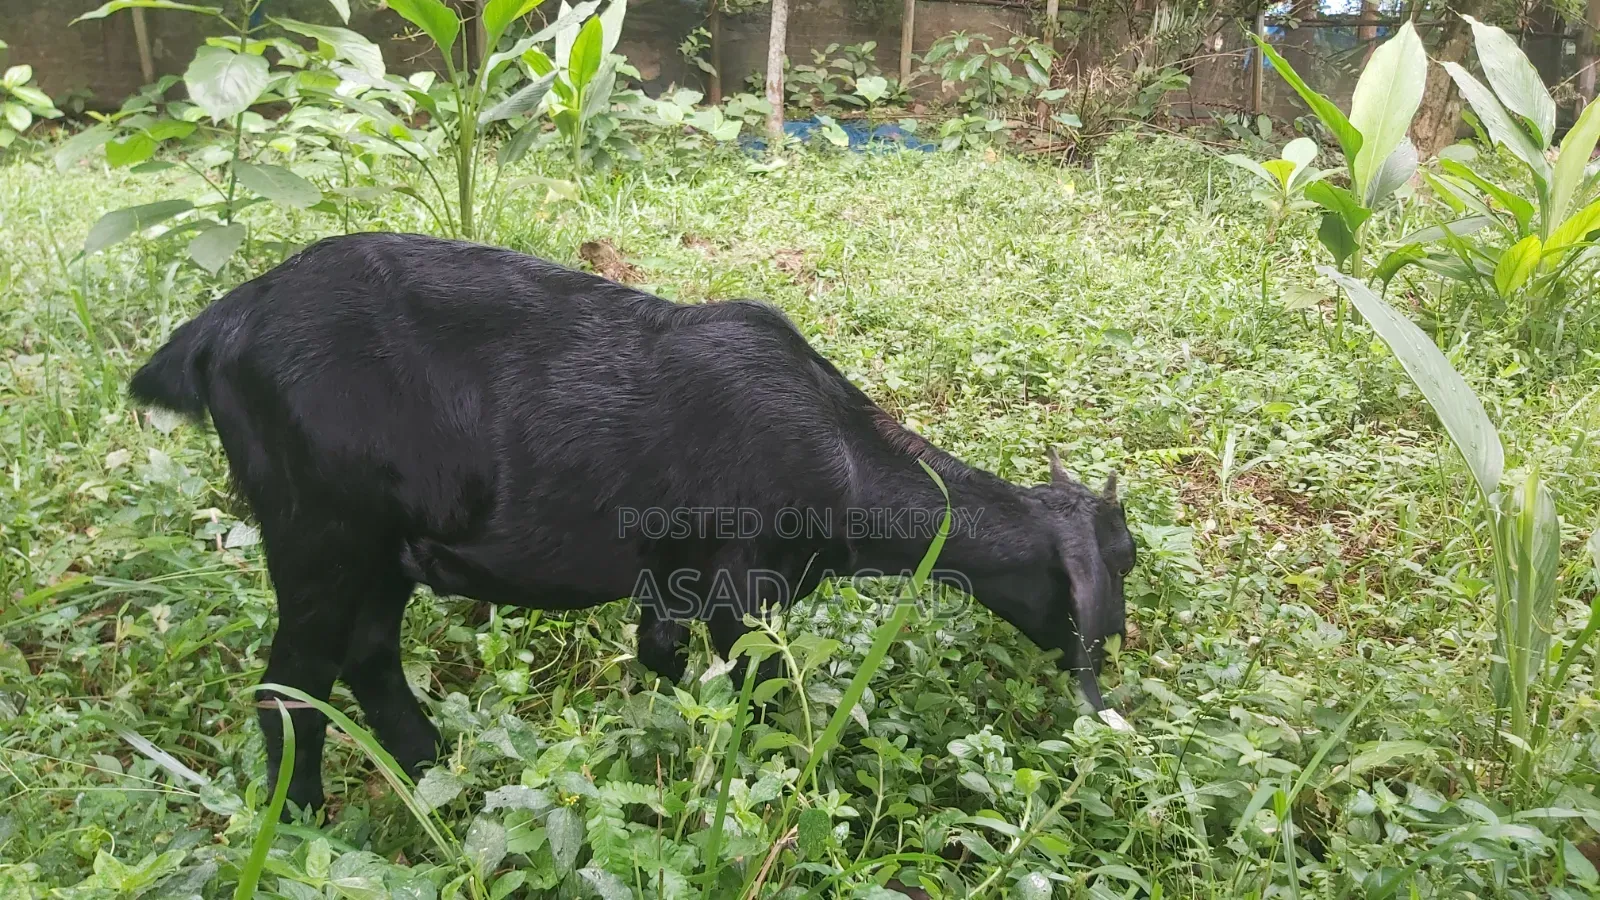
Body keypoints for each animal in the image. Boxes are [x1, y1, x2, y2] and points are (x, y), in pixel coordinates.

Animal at [129, 233, 1135, 811]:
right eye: (1119, 565)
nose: (1116, 646)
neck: (842, 454)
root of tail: (218, 330)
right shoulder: (741, 585)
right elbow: (756, 698)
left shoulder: (673, 580)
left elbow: (662, 666)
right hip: (319, 531)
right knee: (290, 684)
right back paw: (300, 820)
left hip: (381, 551)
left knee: (369, 655)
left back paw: (439, 781)